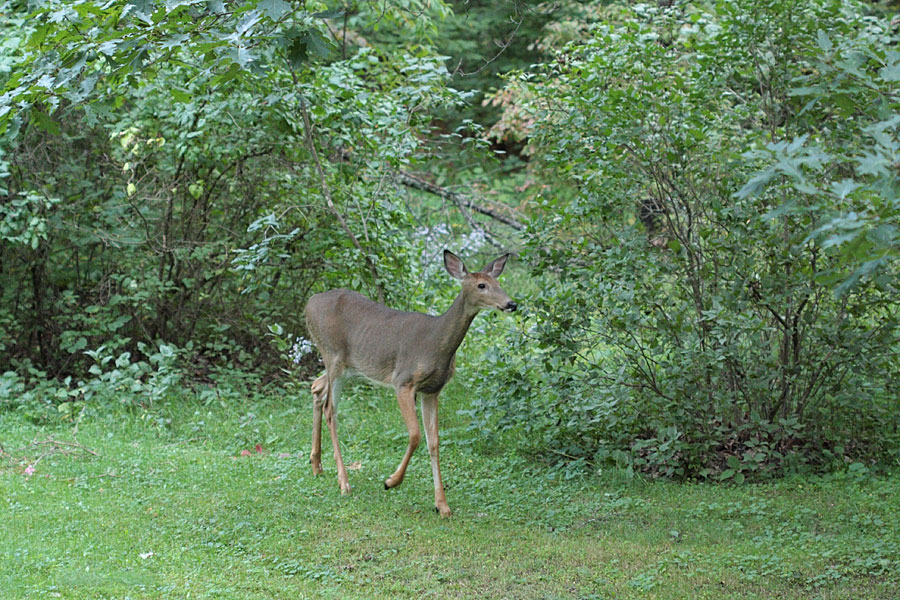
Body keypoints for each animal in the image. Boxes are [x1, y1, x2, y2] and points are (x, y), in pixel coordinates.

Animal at [304, 250, 517, 517]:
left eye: (498, 282)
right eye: (482, 285)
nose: (511, 304)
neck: (436, 344)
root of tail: (308, 304)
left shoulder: (433, 390)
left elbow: (434, 442)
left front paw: (442, 505)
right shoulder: (403, 381)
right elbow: (415, 435)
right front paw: (391, 481)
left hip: (350, 368)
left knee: (317, 387)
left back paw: (316, 465)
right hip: (332, 356)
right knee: (330, 409)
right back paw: (344, 482)